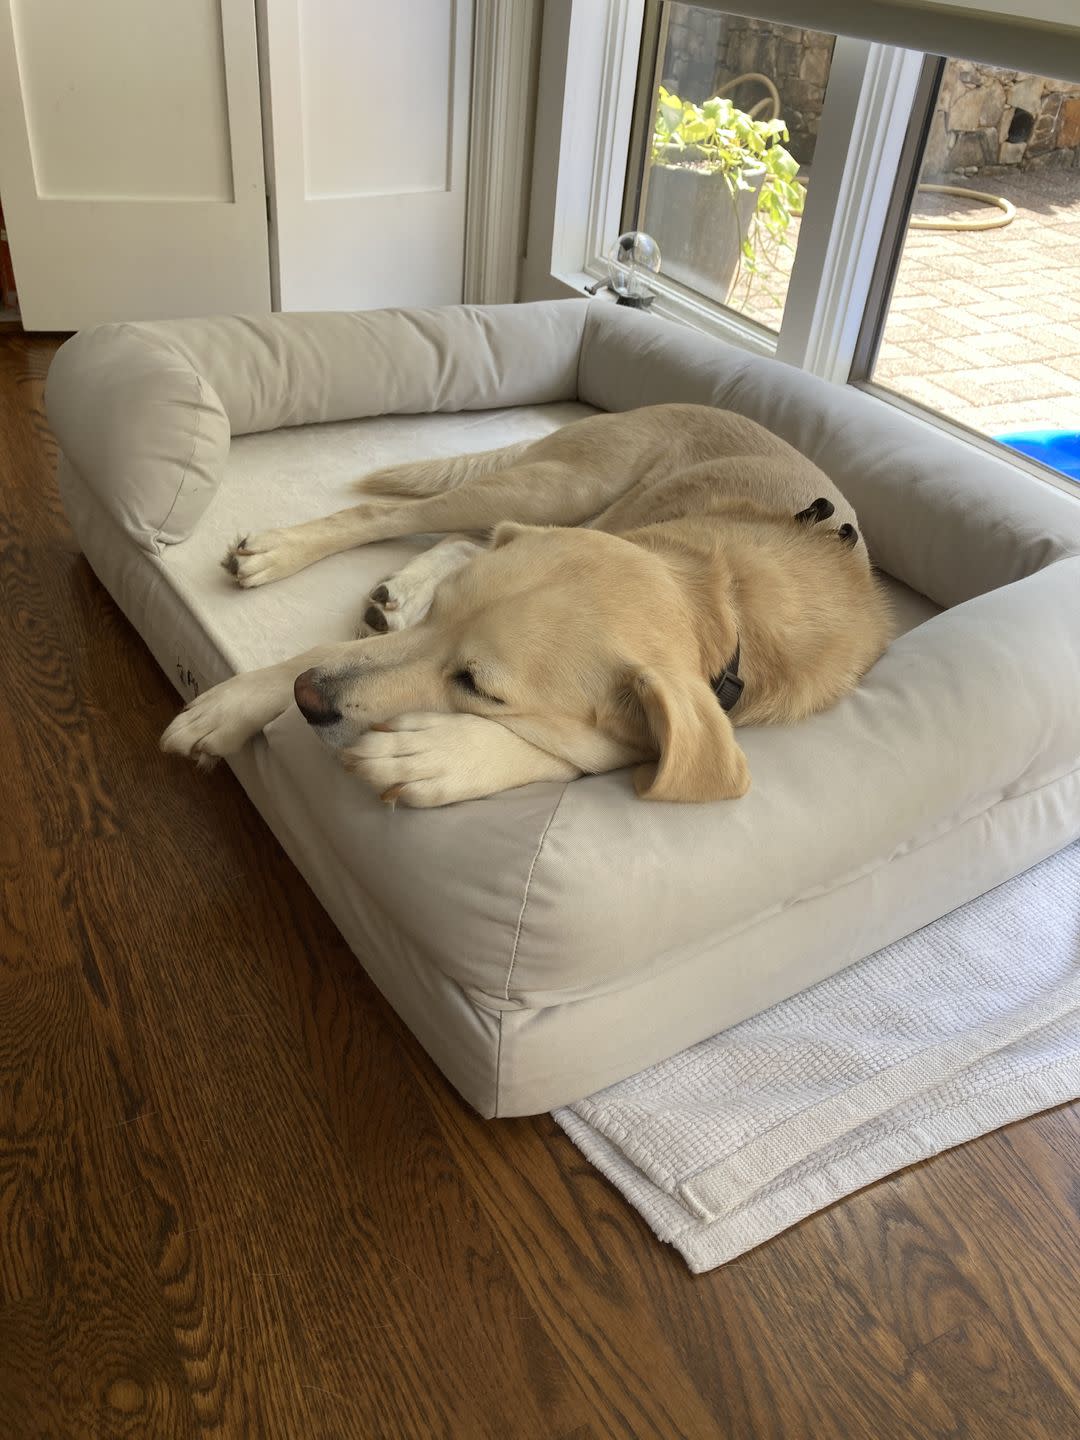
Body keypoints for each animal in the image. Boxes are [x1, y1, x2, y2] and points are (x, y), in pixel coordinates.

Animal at [158, 406, 887, 806]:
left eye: (481, 688)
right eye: (441, 618)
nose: (306, 699)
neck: (722, 596)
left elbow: (598, 751)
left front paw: (438, 755)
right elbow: (324, 649)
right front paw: (234, 703)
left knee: (463, 538)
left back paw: (396, 593)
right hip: (560, 487)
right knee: (394, 515)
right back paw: (282, 551)